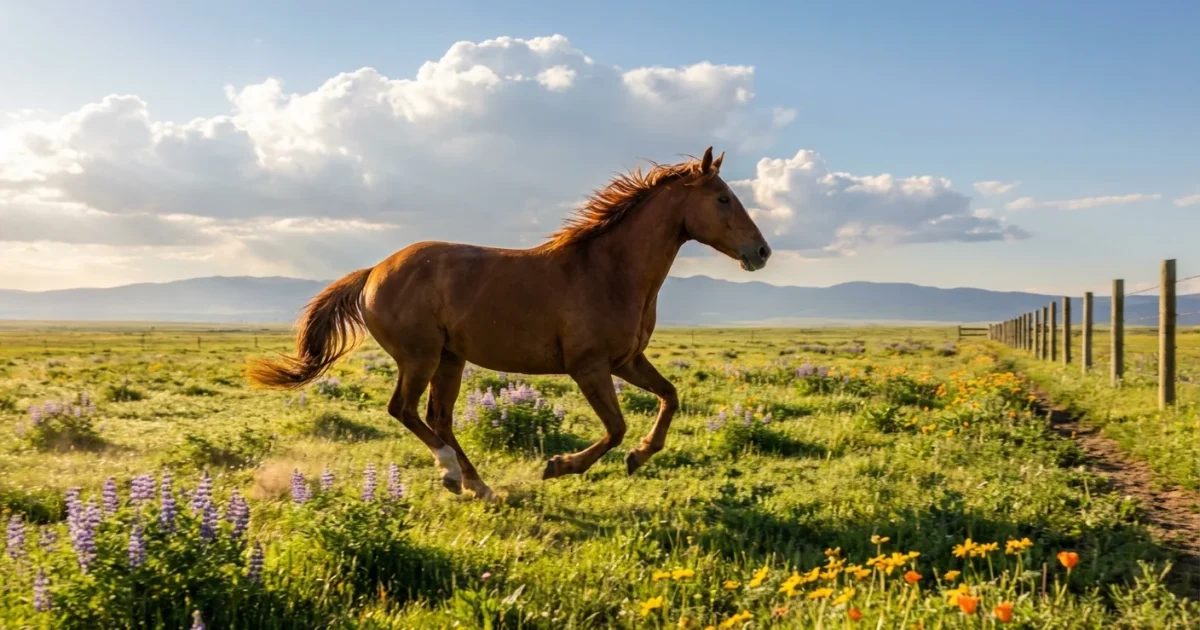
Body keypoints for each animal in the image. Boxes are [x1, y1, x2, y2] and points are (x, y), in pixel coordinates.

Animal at [246, 147, 771, 501]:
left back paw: (478, 485)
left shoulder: (627, 360)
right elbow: (616, 427)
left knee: (439, 417)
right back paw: (451, 473)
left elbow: (669, 397)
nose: (762, 251)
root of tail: (374, 271)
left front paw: (639, 456)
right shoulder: (589, 367)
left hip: (450, 359)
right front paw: (559, 466)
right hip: (420, 356)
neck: (609, 270)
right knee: (405, 410)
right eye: (723, 199)